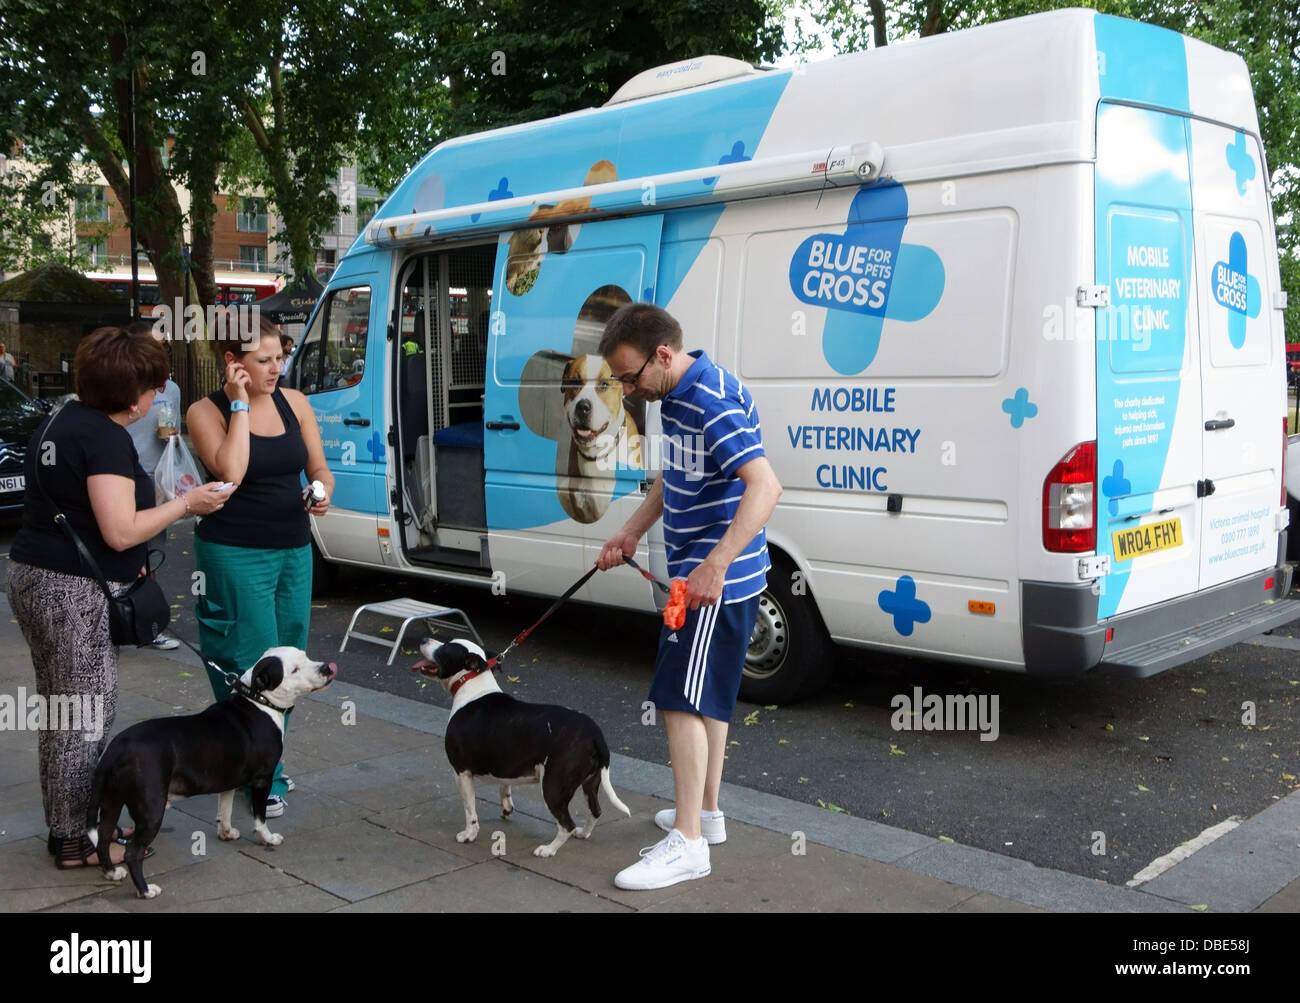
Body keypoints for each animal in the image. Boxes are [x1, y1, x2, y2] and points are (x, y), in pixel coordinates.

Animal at [86, 649, 338, 899]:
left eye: (305, 656)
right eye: (294, 670)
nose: (327, 668)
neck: (259, 701)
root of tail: (117, 748)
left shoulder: (228, 779)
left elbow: (224, 810)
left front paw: (226, 833)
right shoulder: (262, 780)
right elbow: (260, 817)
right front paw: (267, 838)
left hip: (111, 801)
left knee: (103, 837)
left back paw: (111, 873)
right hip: (151, 809)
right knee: (132, 852)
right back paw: (146, 891)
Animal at [416, 639, 629, 857]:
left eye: (445, 648)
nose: (424, 639)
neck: (471, 683)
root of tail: (595, 735)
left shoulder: (461, 772)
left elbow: (470, 809)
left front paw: (469, 835)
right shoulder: (505, 761)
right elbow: (504, 786)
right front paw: (506, 807)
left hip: (553, 786)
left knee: (566, 824)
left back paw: (548, 850)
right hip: (590, 782)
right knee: (595, 811)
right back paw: (582, 834)